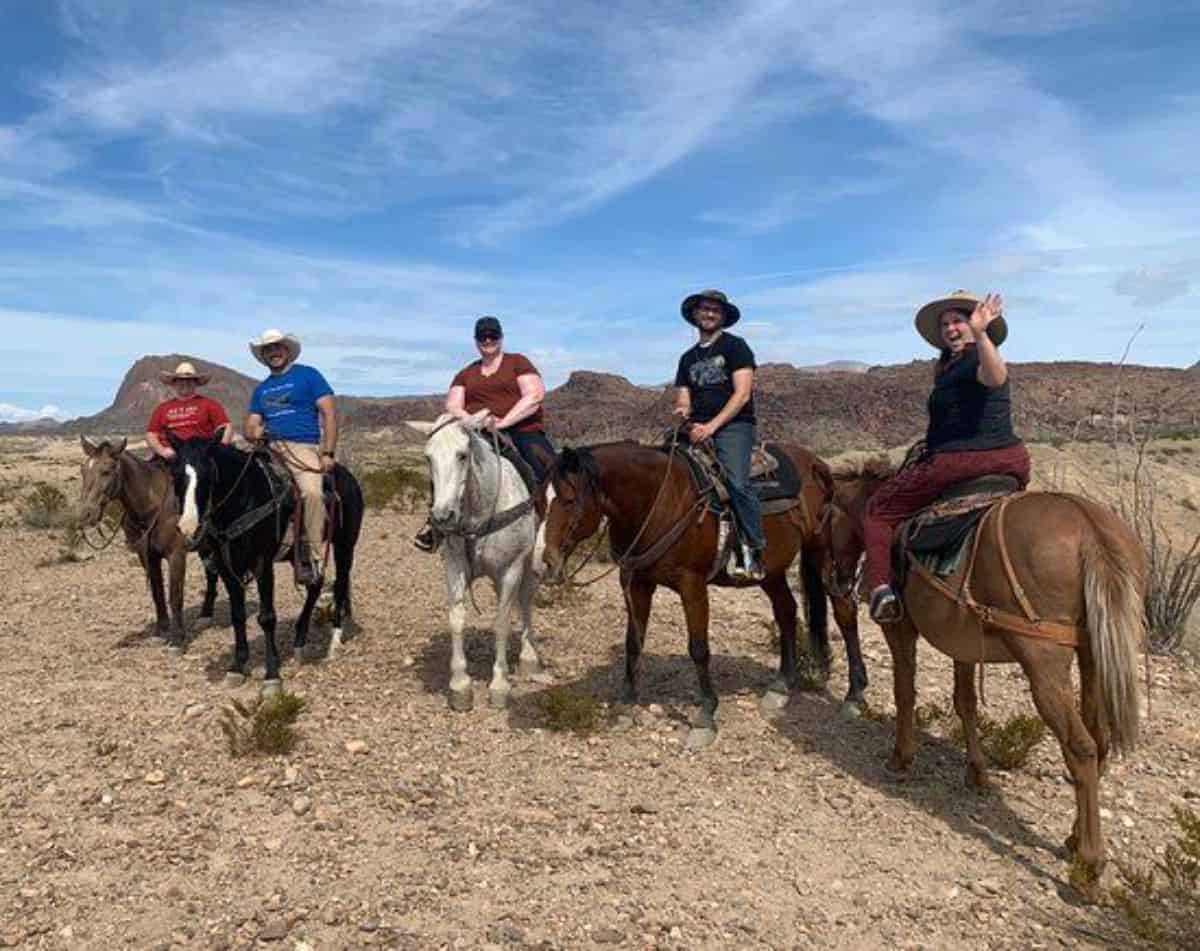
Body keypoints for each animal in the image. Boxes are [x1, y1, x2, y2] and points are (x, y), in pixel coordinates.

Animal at [78, 434, 219, 648]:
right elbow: (157, 591)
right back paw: (205, 615)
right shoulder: (148, 556)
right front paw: (161, 629)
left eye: (106, 471)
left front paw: (177, 639)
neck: (153, 505)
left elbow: (175, 595)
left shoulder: (176, 555)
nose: (86, 514)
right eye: (83, 471)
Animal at [169, 432, 362, 691]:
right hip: (299, 556)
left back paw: (333, 643)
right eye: (175, 474)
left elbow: (267, 617)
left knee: (339, 585)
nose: (189, 528)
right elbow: (238, 615)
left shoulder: (262, 563)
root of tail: (349, 477)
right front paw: (237, 667)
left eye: (210, 473)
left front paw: (272, 674)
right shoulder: (227, 566)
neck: (244, 498)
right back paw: (299, 642)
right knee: (315, 585)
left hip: (345, 547)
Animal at [408, 413, 549, 710]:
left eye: (462, 455)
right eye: (428, 457)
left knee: (526, 601)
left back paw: (529, 656)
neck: (479, 515)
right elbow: (457, 619)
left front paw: (499, 685)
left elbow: (501, 622)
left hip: (529, 565)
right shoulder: (454, 566)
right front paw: (460, 685)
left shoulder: (511, 569)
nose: (443, 516)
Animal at [540, 439, 859, 749]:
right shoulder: (636, 583)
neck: (657, 501)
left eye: (569, 499)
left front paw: (705, 717)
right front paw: (626, 705)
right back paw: (781, 687)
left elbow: (698, 649)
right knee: (787, 611)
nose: (546, 564)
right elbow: (633, 643)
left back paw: (854, 697)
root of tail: (817, 463)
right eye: (538, 501)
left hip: (822, 552)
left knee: (844, 610)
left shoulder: (691, 585)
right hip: (771, 570)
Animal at [825, 453, 1142, 883]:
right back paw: (1075, 838)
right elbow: (965, 702)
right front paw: (976, 773)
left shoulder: (900, 629)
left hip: (1043, 663)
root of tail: (1089, 529)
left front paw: (901, 758)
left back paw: (1090, 863)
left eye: (826, 520)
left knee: (1081, 746)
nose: (834, 582)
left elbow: (905, 692)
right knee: (1099, 738)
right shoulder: (960, 639)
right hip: (1092, 655)